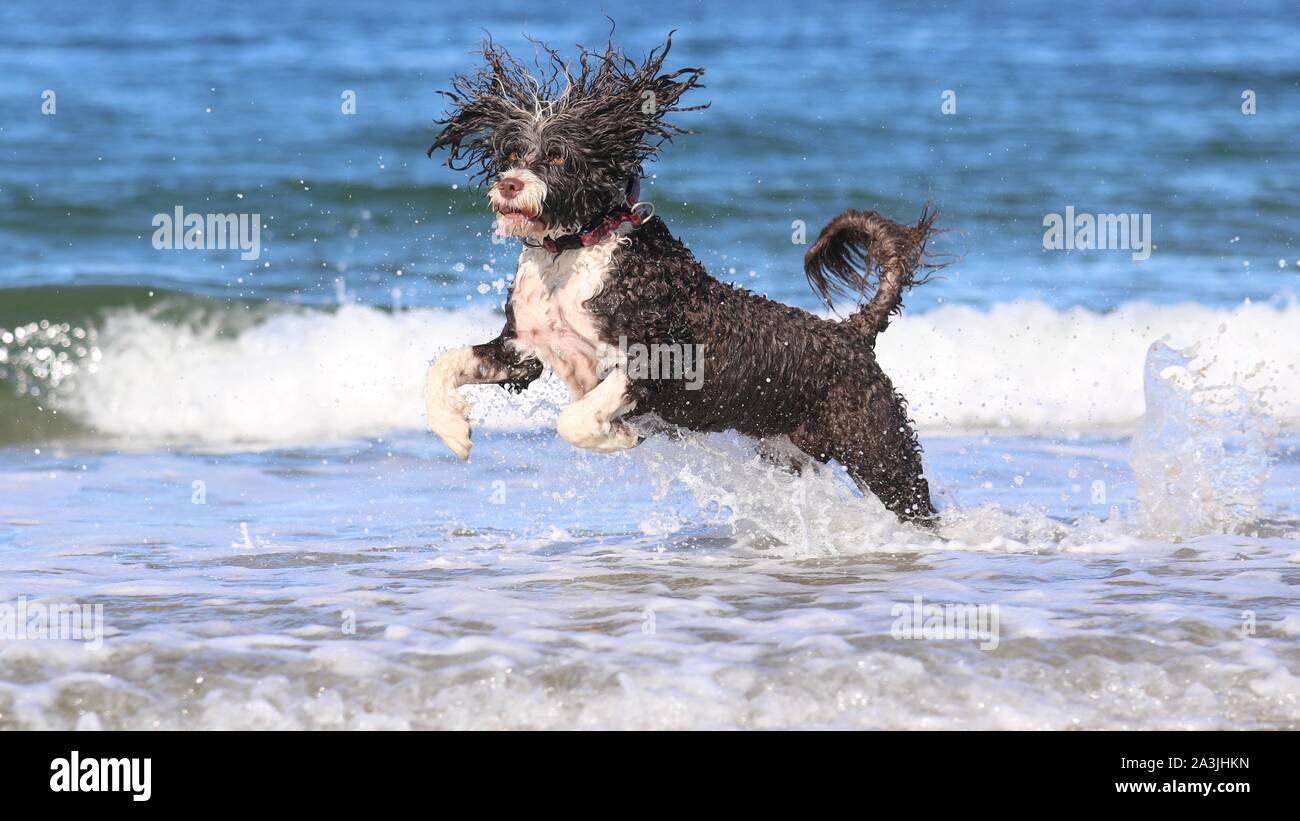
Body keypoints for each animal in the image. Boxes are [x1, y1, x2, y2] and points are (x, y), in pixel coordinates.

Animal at [426, 35, 946, 522]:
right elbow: (444, 363)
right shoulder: (523, 351)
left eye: (557, 157)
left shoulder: (656, 358)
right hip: (786, 452)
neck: (576, 250)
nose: (509, 184)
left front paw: (621, 437)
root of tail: (852, 333)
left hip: (880, 452)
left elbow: (573, 420)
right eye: (513, 151)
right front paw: (454, 429)